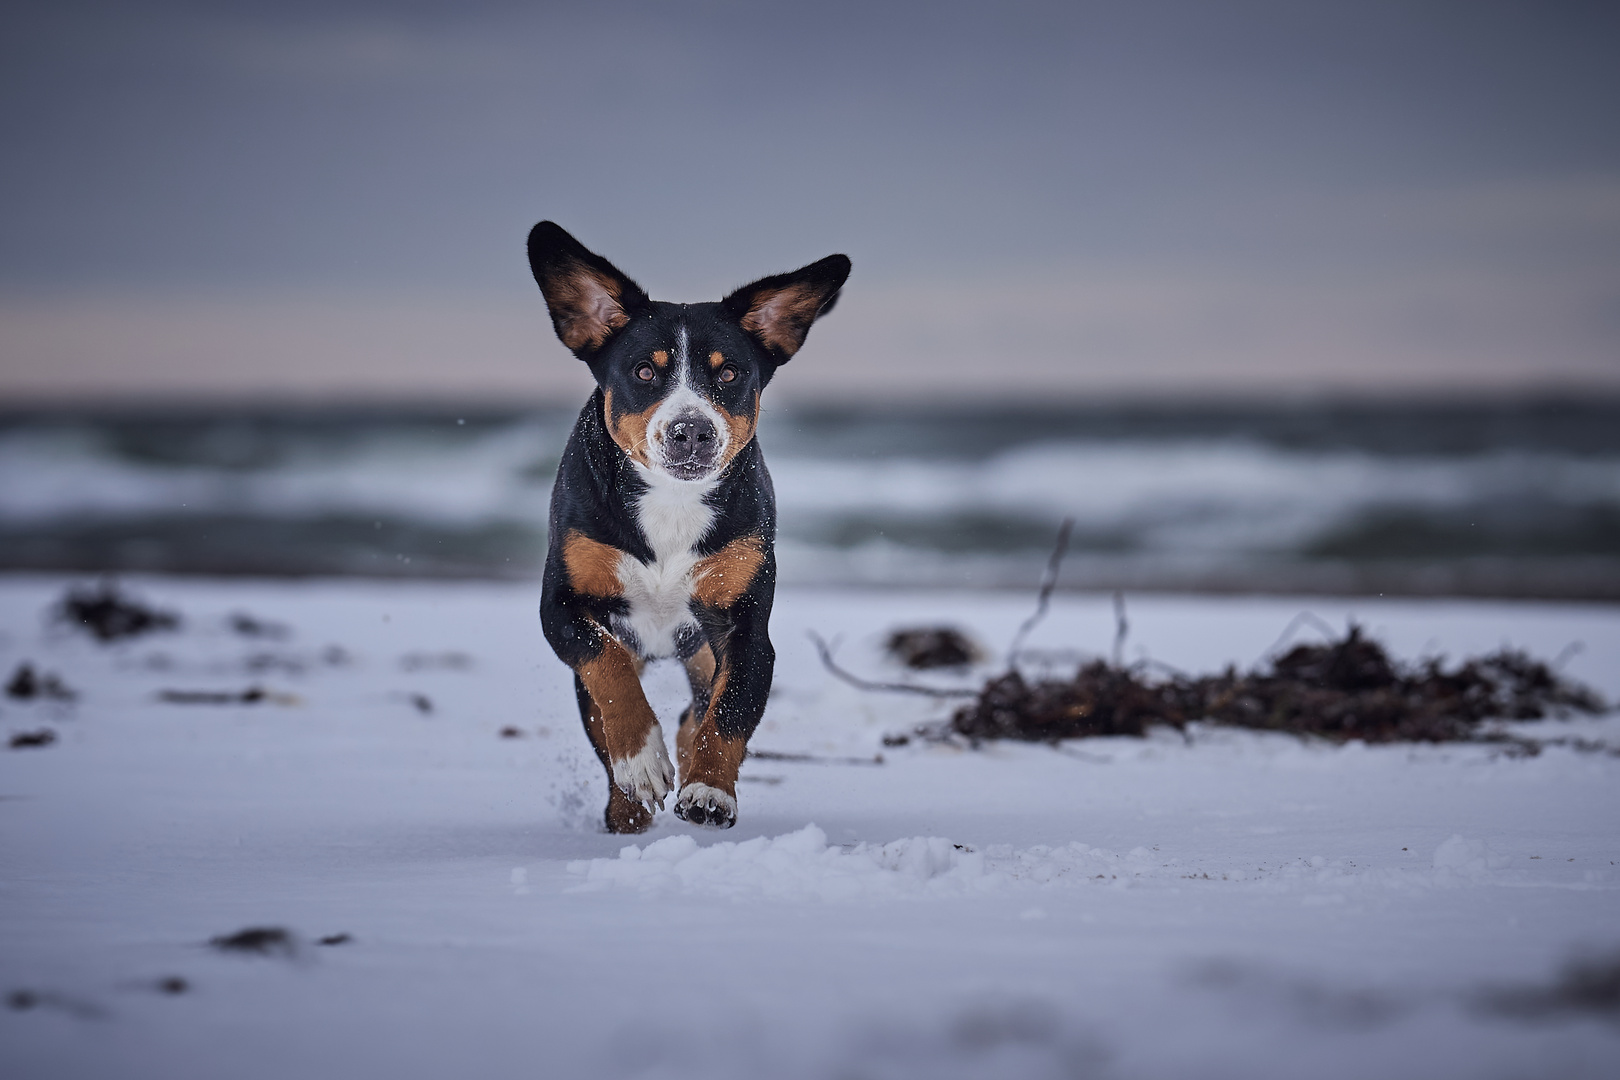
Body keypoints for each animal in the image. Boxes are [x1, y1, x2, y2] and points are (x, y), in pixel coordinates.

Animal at [528, 221, 861, 835]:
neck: (672, 505)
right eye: (644, 372)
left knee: (697, 709)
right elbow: (609, 669)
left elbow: (728, 715)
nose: (691, 431)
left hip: (704, 652)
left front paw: (709, 788)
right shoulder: (561, 607)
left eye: (729, 373)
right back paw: (626, 806)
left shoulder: (746, 632)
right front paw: (641, 762)